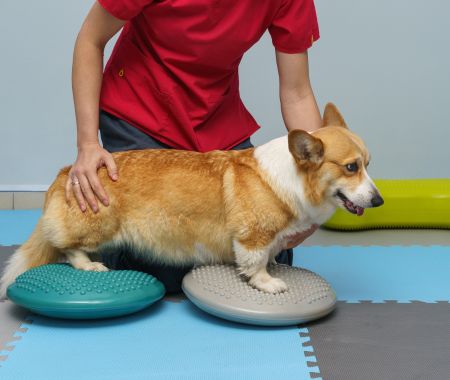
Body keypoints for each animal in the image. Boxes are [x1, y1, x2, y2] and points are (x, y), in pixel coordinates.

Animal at [0, 104, 384, 296]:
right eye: (351, 167)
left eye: (368, 164)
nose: (379, 200)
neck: (291, 177)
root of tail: (66, 172)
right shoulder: (251, 237)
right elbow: (255, 263)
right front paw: (267, 282)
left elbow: (270, 255)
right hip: (99, 226)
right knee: (68, 248)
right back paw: (90, 265)